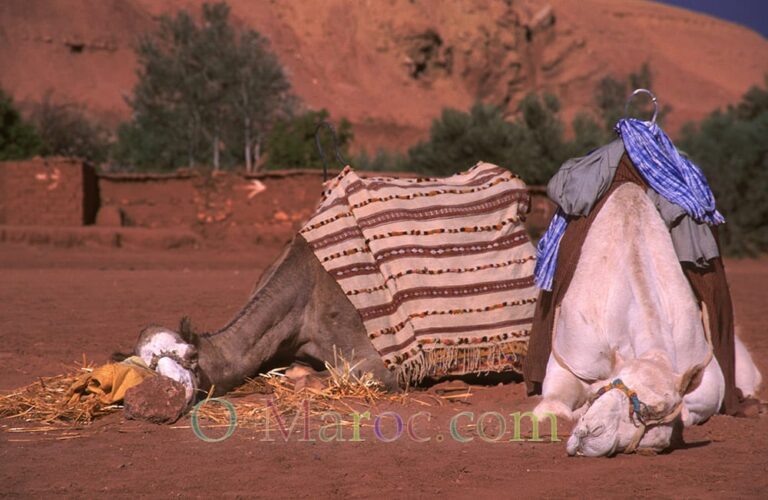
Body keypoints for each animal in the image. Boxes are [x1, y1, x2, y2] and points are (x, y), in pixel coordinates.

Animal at [531, 183, 762, 457]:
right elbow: (553, 406)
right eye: (607, 385)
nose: (590, 431)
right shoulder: (571, 359)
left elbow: (691, 407)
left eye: (653, 410)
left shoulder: (706, 371)